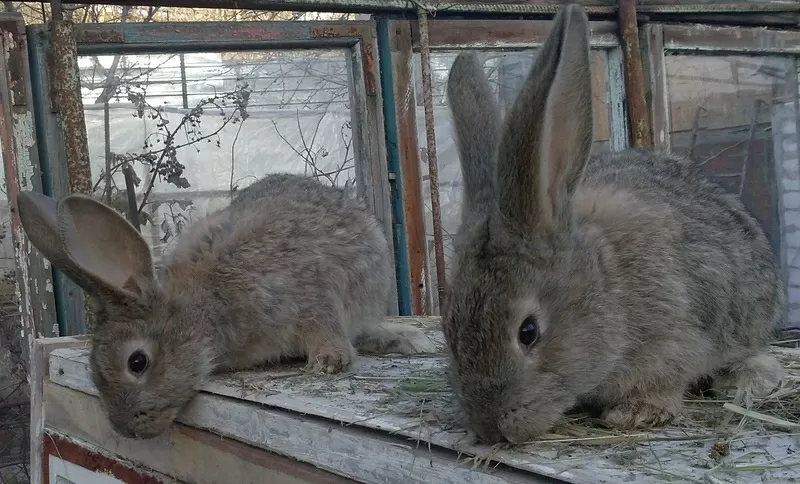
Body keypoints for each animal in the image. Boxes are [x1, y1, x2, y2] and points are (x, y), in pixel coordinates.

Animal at [17, 173, 432, 438]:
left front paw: (328, 362)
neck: (206, 306)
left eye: (137, 362)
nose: (128, 430)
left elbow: (325, 324)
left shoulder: (308, 294)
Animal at [440, 3, 784, 444]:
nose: (489, 426)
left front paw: (636, 413)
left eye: (528, 332)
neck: (606, 285)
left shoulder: (675, 338)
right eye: (448, 325)